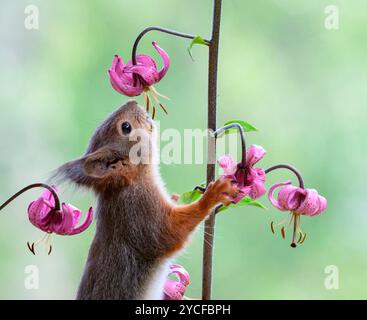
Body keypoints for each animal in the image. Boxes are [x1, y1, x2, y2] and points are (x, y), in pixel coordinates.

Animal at [54, 100, 239, 300]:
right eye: (126, 127)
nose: (133, 101)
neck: (129, 184)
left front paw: (176, 197)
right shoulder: (140, 211)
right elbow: (170, 233)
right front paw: (213, 194)